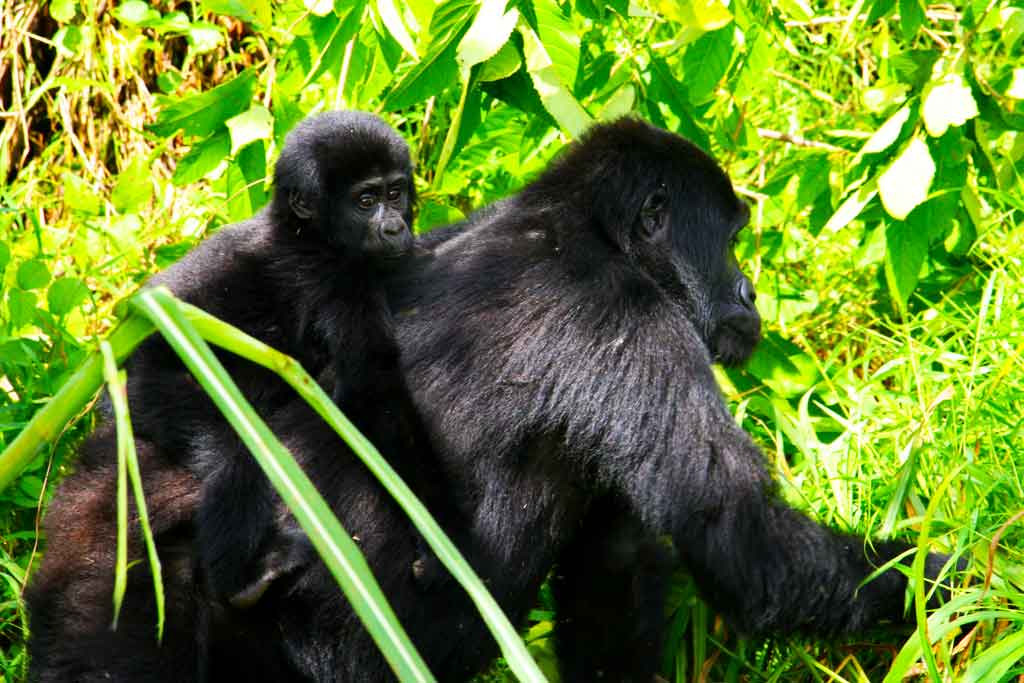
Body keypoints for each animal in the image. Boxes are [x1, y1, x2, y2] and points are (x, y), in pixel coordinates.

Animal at [122, 112, 415, 610]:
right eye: (366, 200)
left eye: (396, 193)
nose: (395, 229)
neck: (302, 232)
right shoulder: (336, 278)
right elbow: (371, 388)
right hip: (151, 387)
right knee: (236, 456)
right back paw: (242, 579)